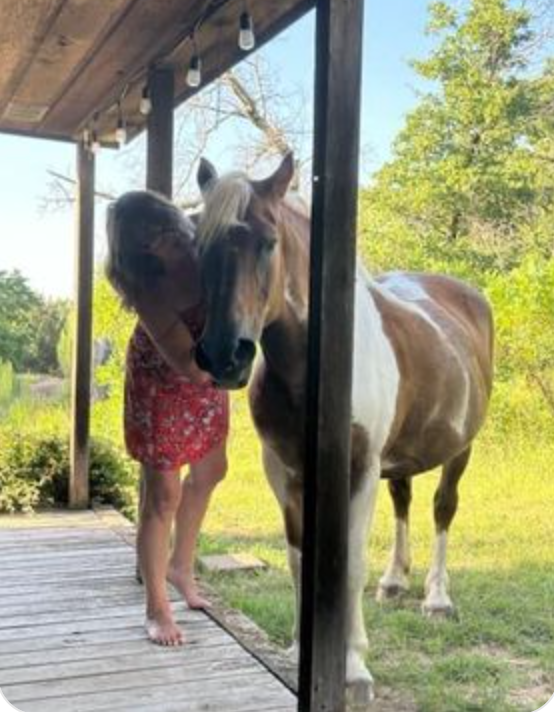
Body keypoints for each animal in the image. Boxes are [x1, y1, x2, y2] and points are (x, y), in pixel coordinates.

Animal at [193, 153, 494, 700]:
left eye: (268, 241)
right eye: (198, 243)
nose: (224, 355)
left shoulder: (358, 469)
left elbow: (348, 563)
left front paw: (353, 669)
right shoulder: (284, 471)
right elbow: (298, 559)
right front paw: (297, 648)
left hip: (461, 448)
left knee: (443, 508)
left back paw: (437, 598)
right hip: (400, 458)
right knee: (403, 500)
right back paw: (394, 582)